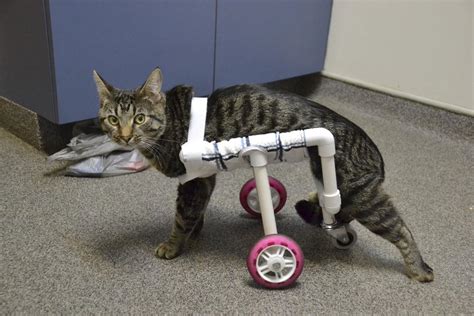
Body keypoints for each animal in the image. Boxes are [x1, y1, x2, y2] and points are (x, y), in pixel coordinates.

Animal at [91, 67, 434, 282]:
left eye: (139, 118)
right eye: (112, 119)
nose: (123, 137)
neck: (169, 124)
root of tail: (375, 153)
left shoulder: (194, 180)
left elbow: (182, 217)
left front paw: (173, 245)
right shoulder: (204, 178)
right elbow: (197, 211)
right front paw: (195, 232)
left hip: (361, 196)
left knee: (401, 229)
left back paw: (419, 268)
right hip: (326, 176)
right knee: (330, 206)